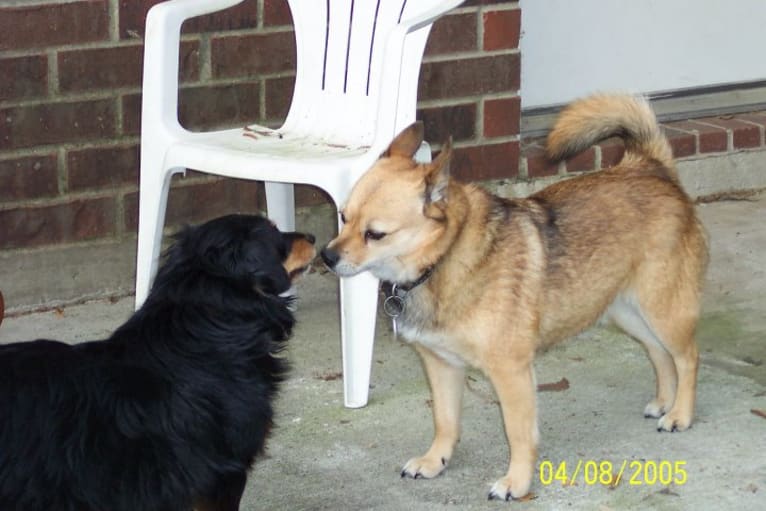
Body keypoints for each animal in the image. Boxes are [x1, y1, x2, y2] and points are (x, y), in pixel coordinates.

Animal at [320, 95, 708, 500]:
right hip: (627, 312)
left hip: (663, 309)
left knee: (688, 357)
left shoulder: (511, 373)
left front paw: (517, 482)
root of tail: (650, 168)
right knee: (660, 354)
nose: (326, 257)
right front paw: (435, 461)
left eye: (375, 234)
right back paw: (664, 402)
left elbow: (519, 434)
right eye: (343, 217)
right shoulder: (442, 367)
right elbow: (445, 422)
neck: (443, 259)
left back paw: (680, 414)